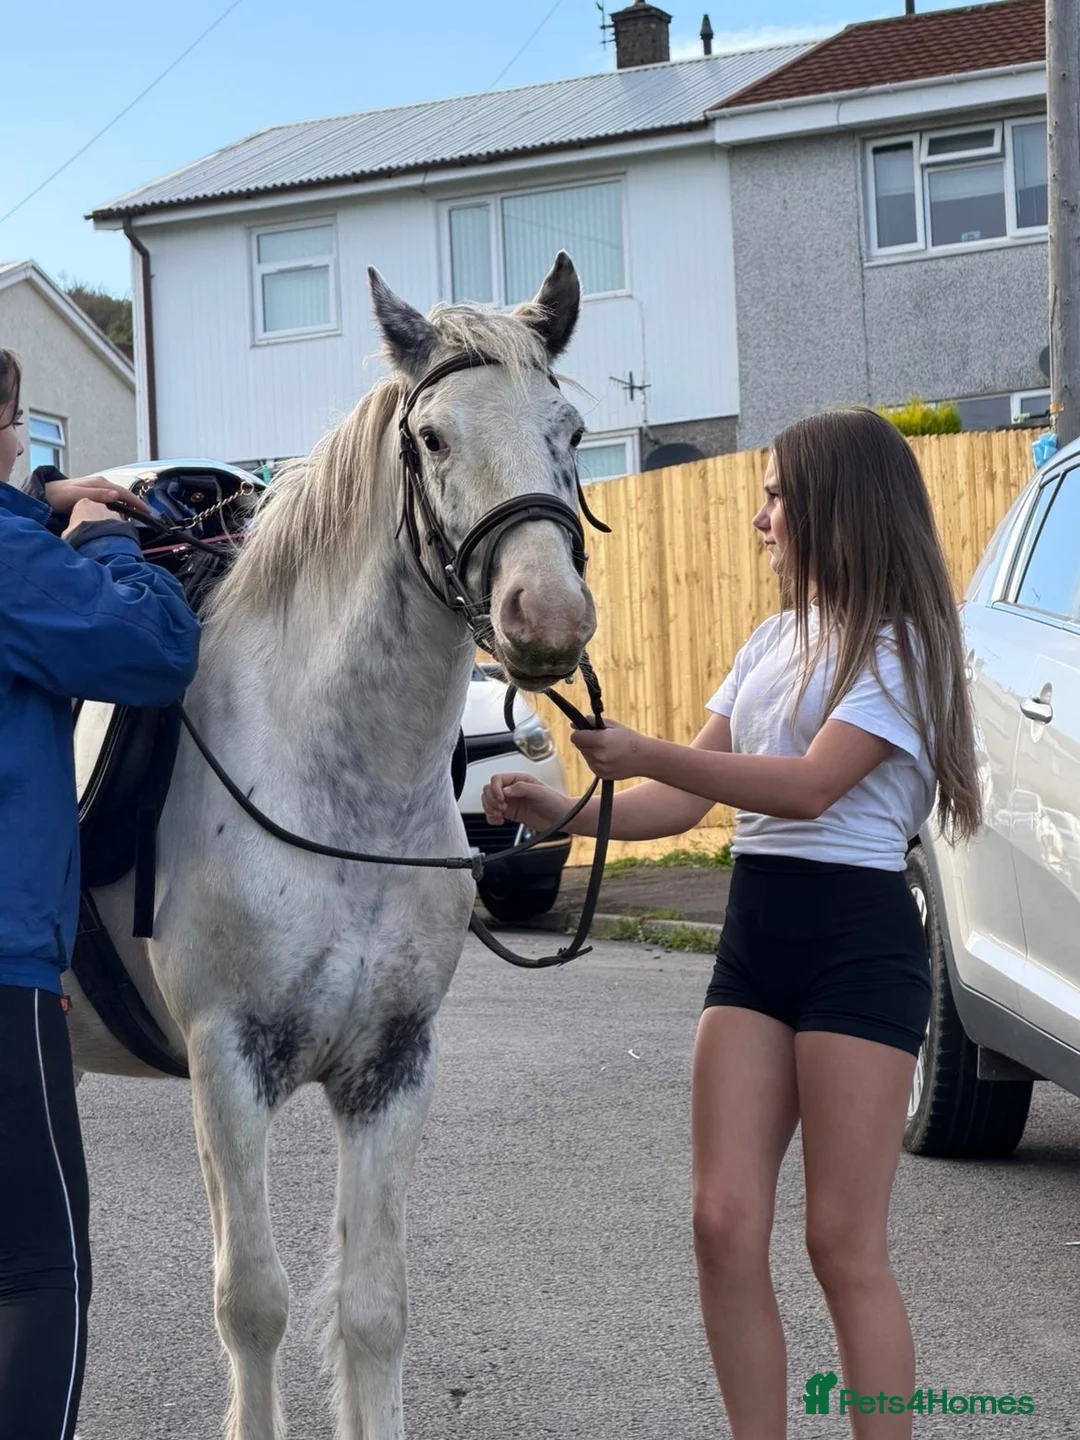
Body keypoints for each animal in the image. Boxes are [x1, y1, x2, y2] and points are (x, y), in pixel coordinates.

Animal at [65, 252, 597, 1440]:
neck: (338, 785)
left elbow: (371, 1310)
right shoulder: (229, 1065)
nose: (546, 614)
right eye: (433, 437)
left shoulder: (390, 1069)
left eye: (572, 429)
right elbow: (253, 1304)